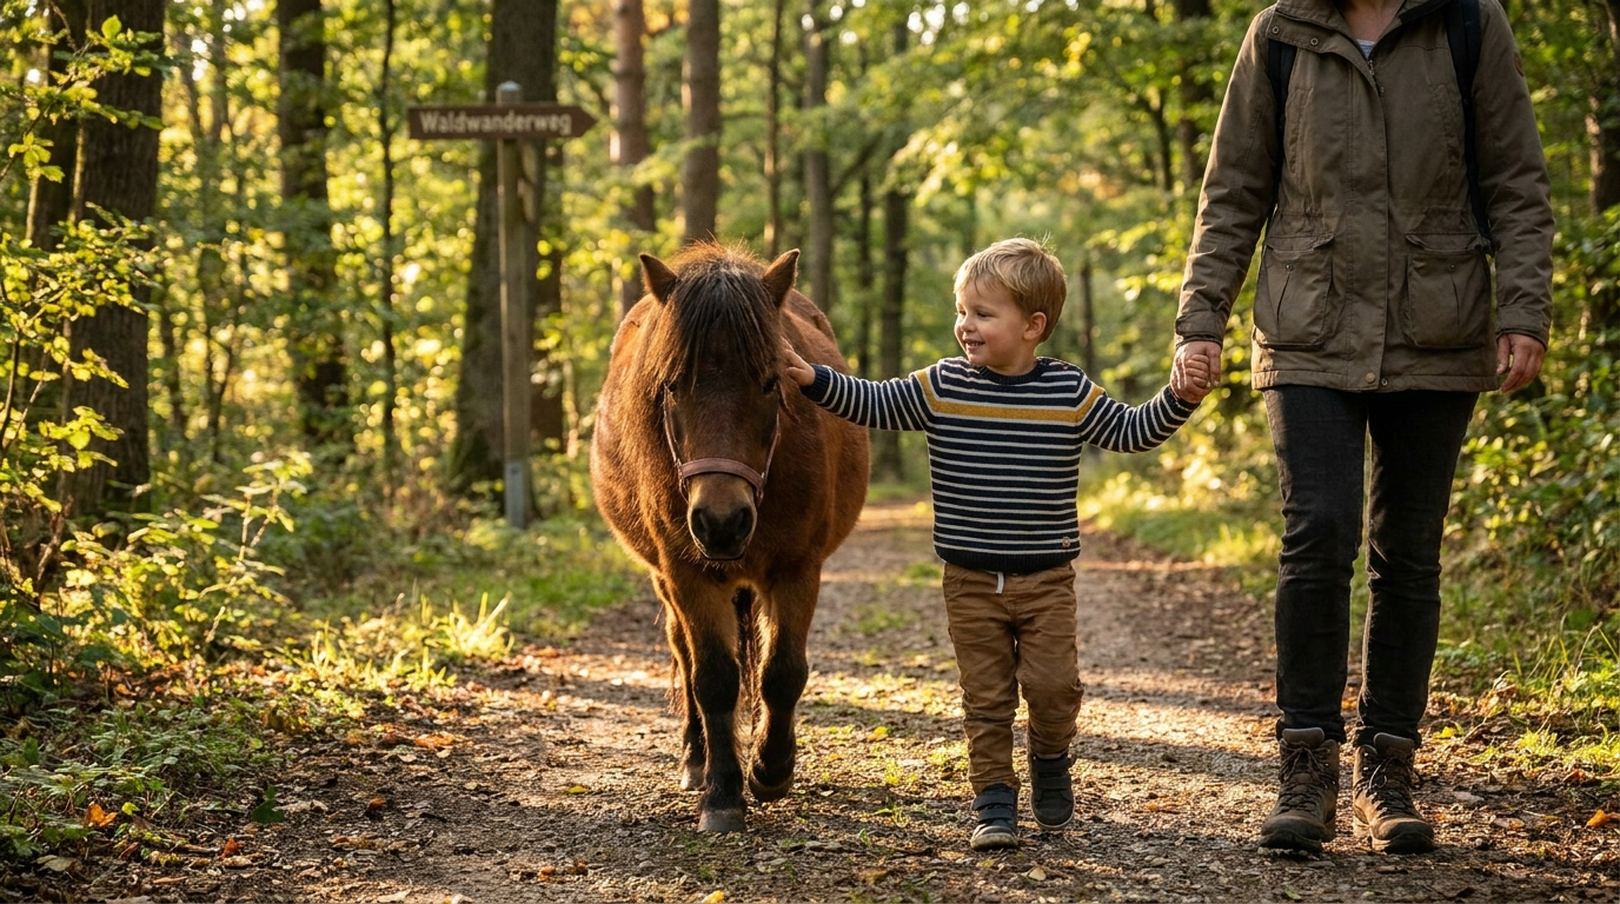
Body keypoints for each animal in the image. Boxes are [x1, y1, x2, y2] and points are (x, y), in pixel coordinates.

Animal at [589, 243, 870, 832]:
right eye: (672, 386)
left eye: (770, 383)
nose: (721, 521)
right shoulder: (687, 573)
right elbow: (713, 678)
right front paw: (722, 792)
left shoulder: (797, 568)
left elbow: (781, 671)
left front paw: (770, 769)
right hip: (665, 580)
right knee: (684, 654)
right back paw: (697, 760)